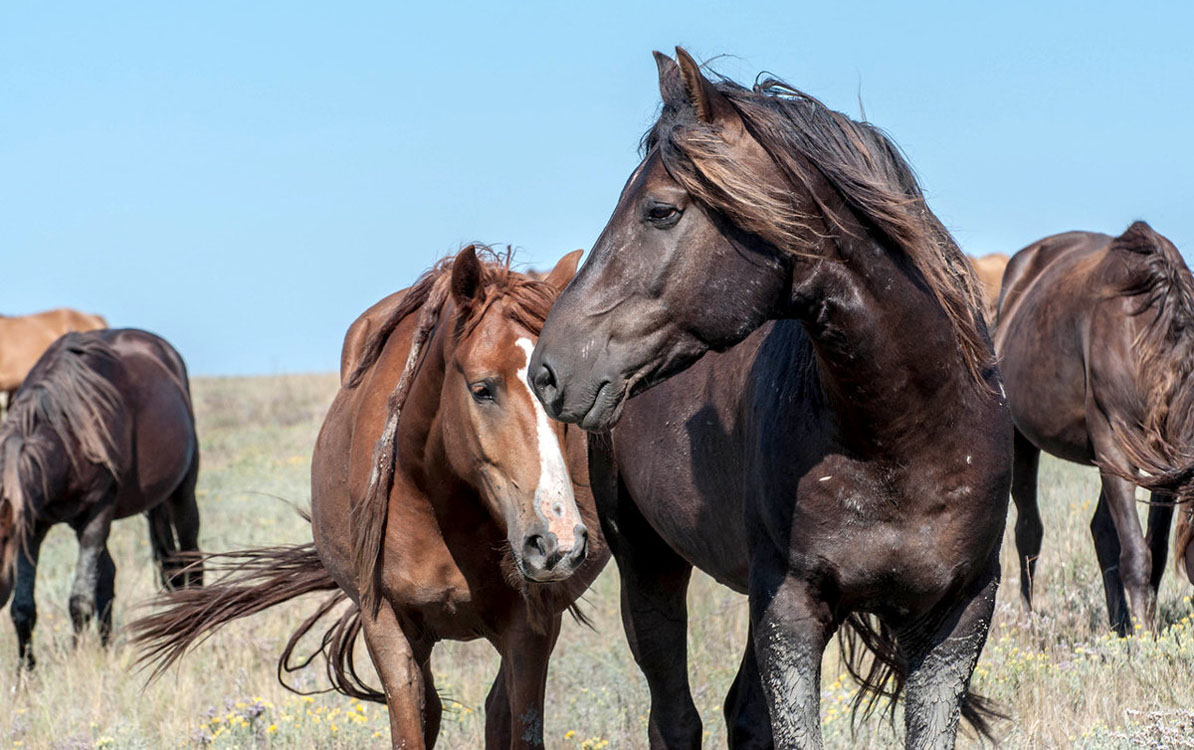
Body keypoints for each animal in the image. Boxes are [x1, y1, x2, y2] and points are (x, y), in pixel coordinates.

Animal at [0, 329, 201, 668]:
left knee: (191, 560)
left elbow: (79, 601)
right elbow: (24, 607)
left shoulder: (97, 513)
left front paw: (77, 660)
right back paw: (106, 648)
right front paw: (26, 672)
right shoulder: (33, 525)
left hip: (181, 494)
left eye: (1, 538)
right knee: (111, 576)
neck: (68, 432)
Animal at [133, 247, 606, 750]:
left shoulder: (532, 630)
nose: (557, 541)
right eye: (482, 389)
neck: (438, 501)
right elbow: (412, 725)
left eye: (558, 391)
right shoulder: (387, 629)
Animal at [530, 49, 1007, 745]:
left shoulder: (959, 611)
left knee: (740, 713)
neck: (902, 433)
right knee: (675, 718)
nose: (547, 371)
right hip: (649, 568)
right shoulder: (790, 607)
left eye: (660, 211)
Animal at [998, 222, 1194, 630]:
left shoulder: (1163, 461)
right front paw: (1145, 639)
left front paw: (1142, 627)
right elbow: (1135, 554)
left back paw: (1118, 624)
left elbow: (1153, 550)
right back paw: (1029, 621)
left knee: (1101, 531)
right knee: (1028, 532)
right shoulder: (1114, 443)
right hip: (1022, 440)